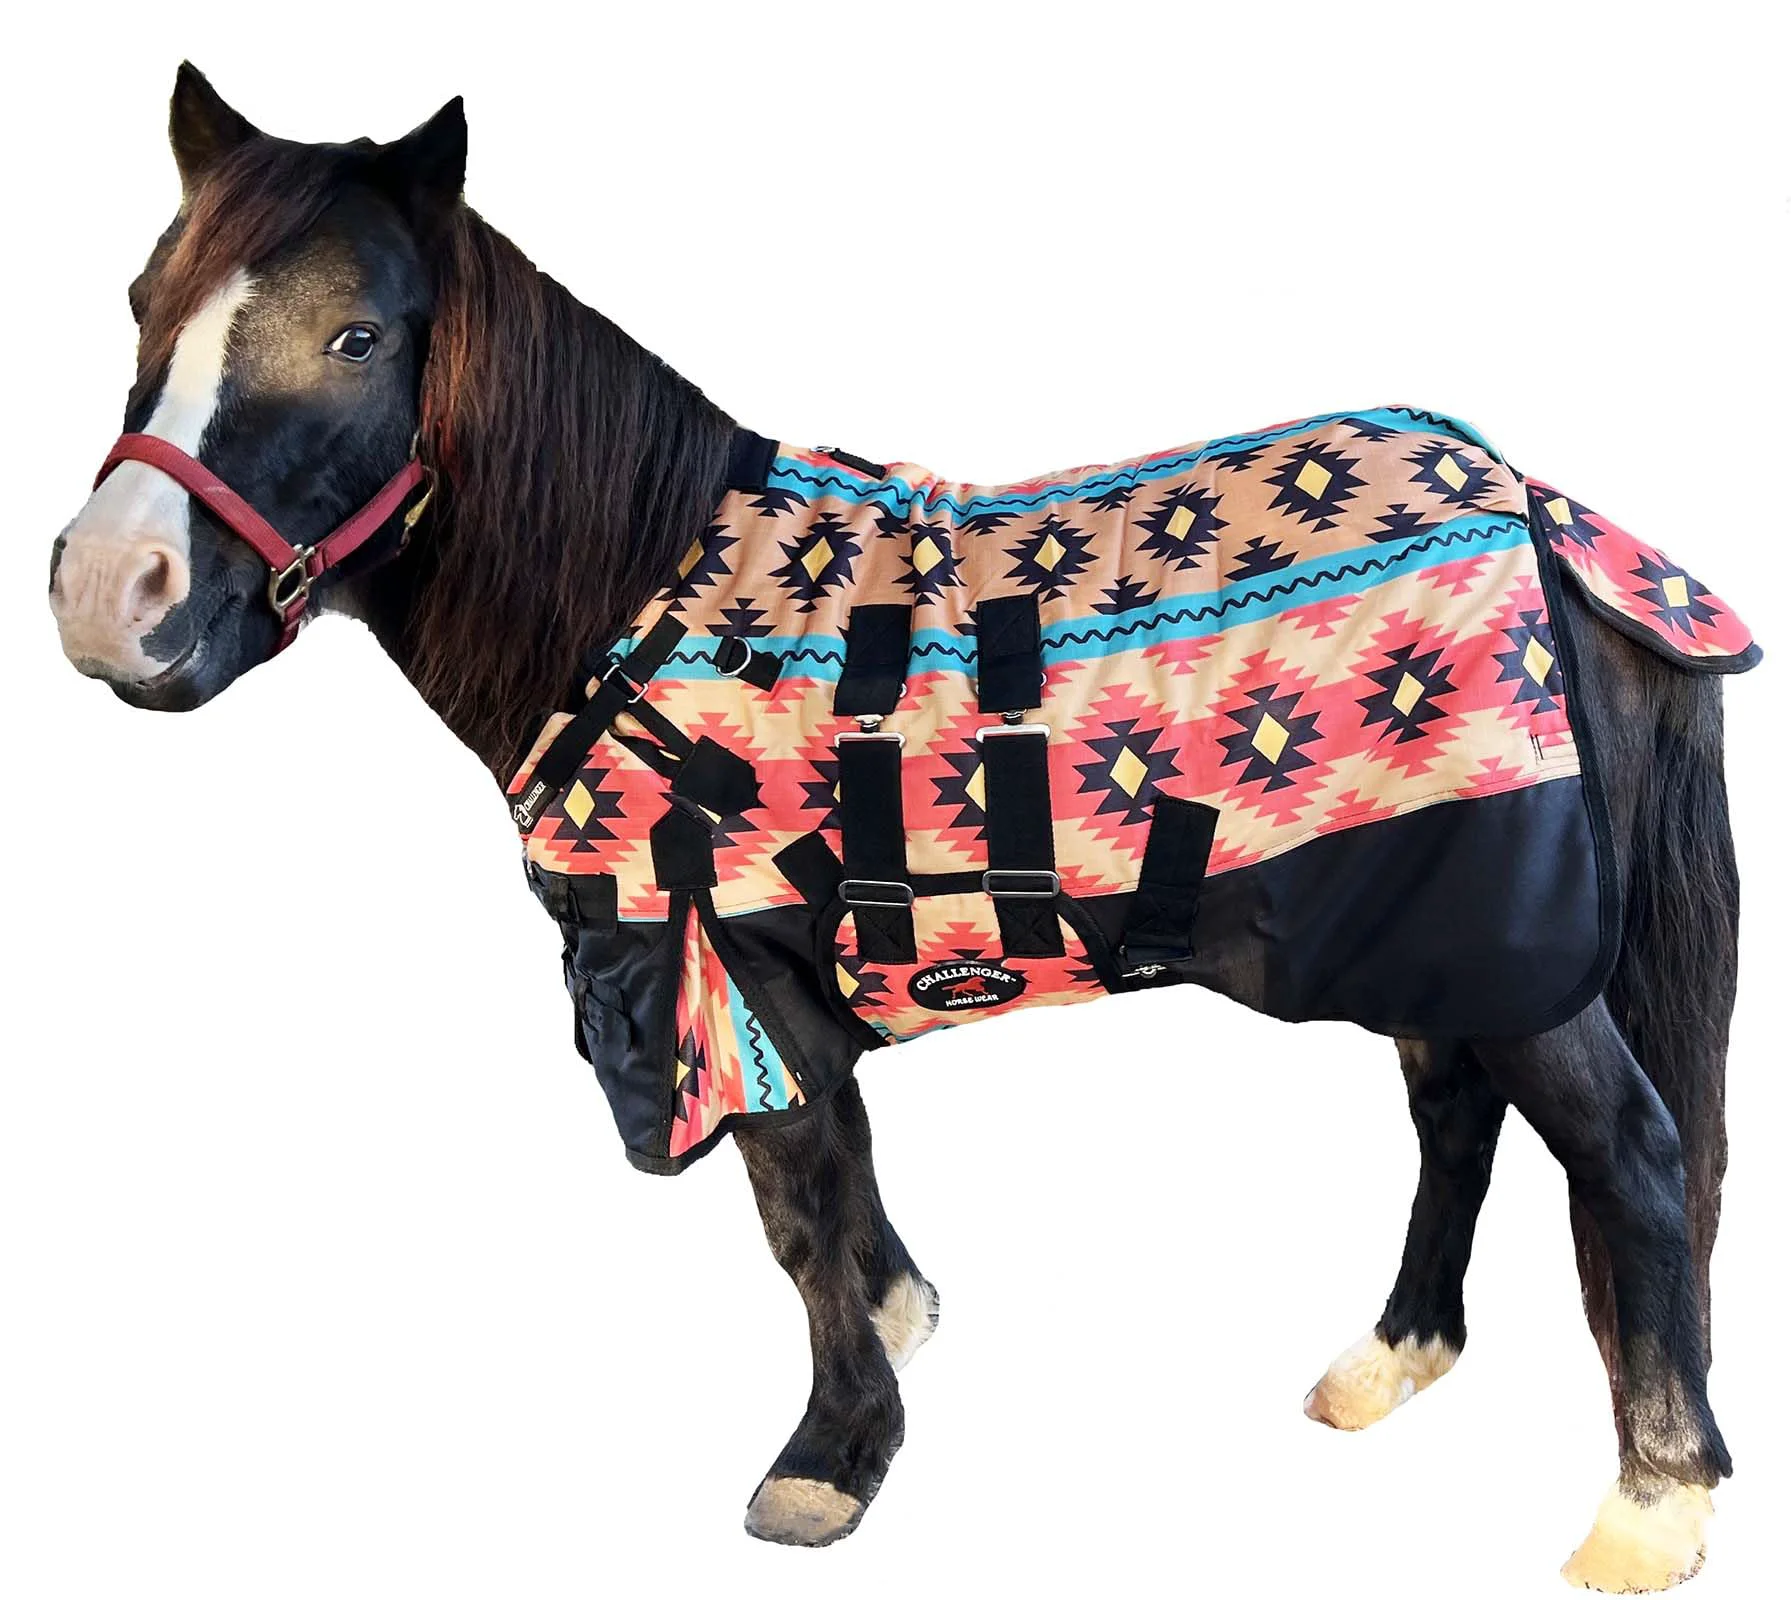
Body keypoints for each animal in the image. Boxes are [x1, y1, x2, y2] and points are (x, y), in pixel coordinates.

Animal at [47, 65, 1751, 1591]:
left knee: (1627, 1153)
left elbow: (797, 1211)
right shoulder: (768, 989)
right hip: (1424, 942)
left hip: (1504, 949)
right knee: (1454, 1118)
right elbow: (833, 1203)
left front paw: (828, 1459)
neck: (639, 602)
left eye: (356, 334)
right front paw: (890, 1347)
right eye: (143, 301)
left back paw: (1648, 1507)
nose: (105, 594)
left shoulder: (731, 973)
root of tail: (1537, 508)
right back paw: (1388, 1360)